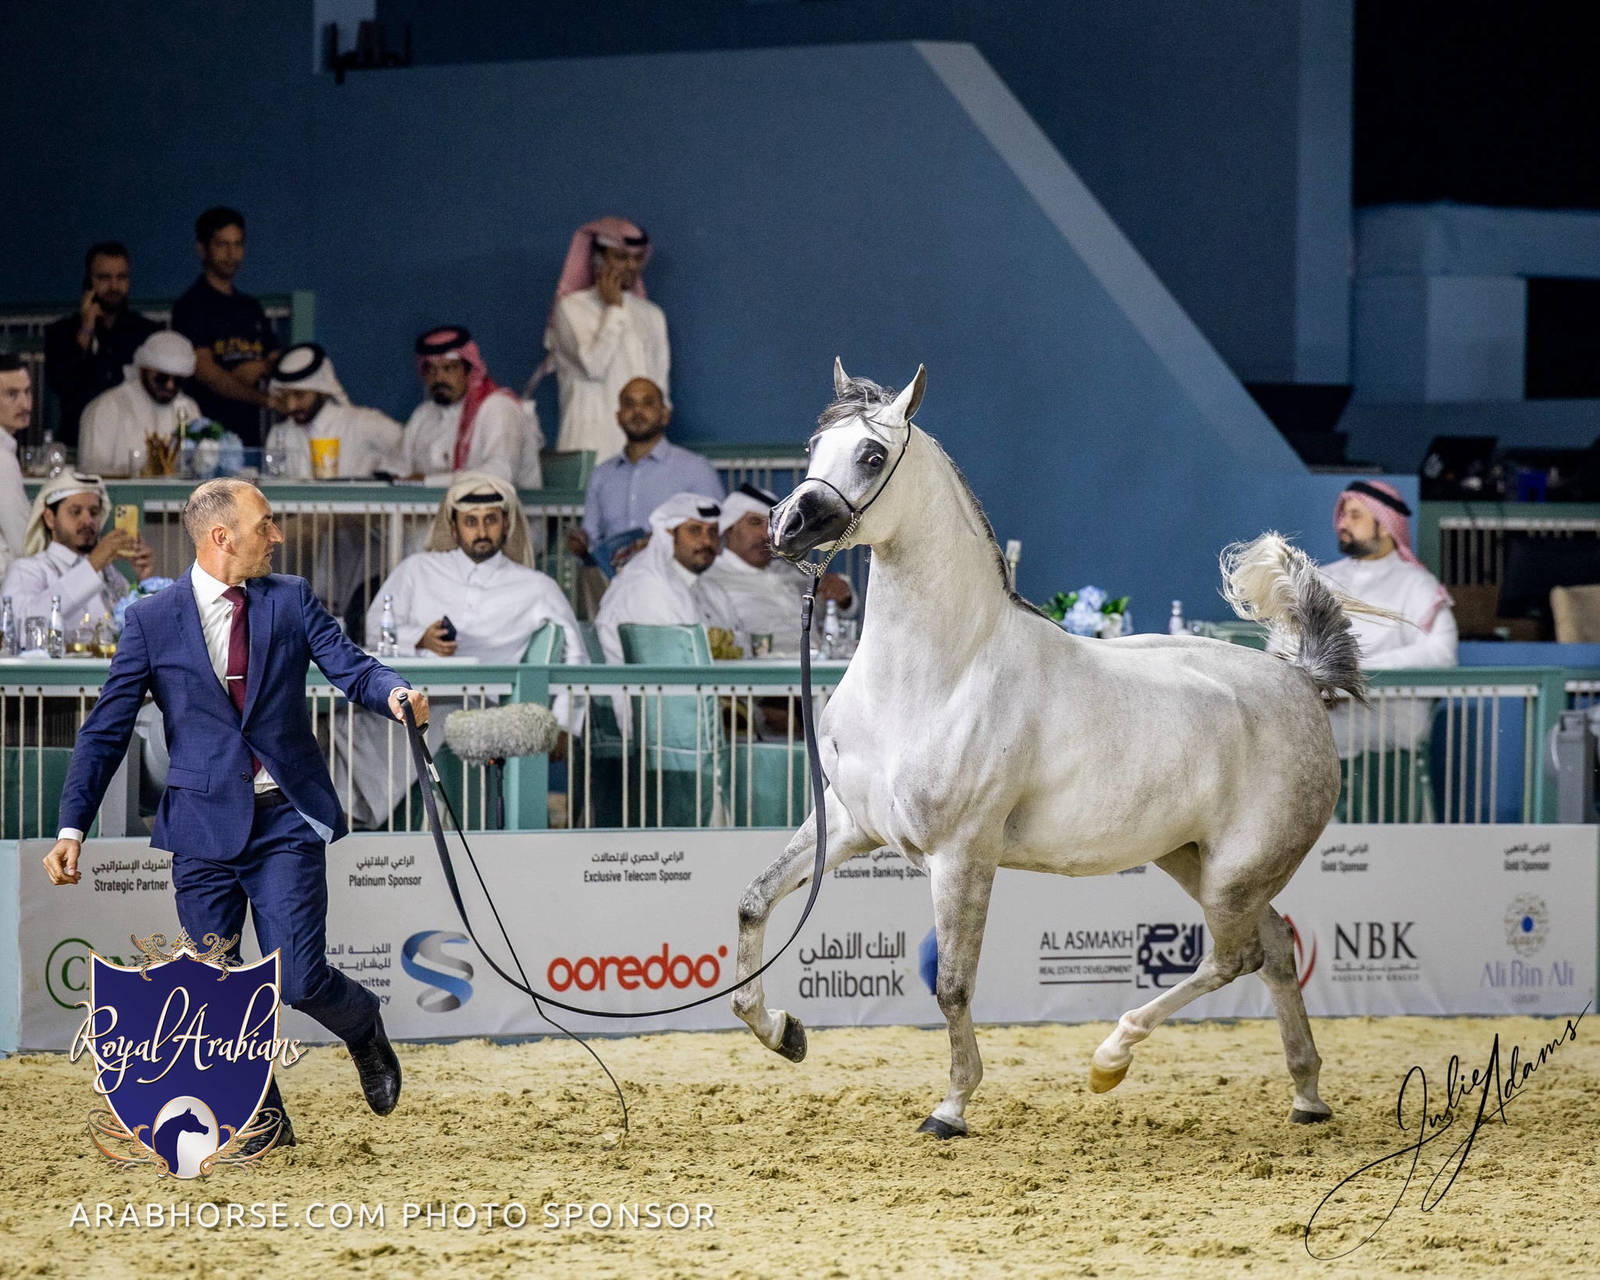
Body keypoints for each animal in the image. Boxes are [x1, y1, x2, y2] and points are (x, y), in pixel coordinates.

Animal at [730, 358, 1368, 1138]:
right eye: (814, 444)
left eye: (873, 455)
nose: (785, 528)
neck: (937, 676)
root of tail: (1300, 681)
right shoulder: (851, 826)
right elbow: (755, 903)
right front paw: (783, 1031)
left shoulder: (962, 856)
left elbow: (953, 986)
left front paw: (950, 1108)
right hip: (1194, 859)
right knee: (1275, 948)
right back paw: (1306, 1095)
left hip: (1233, 875)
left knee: (1236, 956)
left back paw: (1110, 1059)